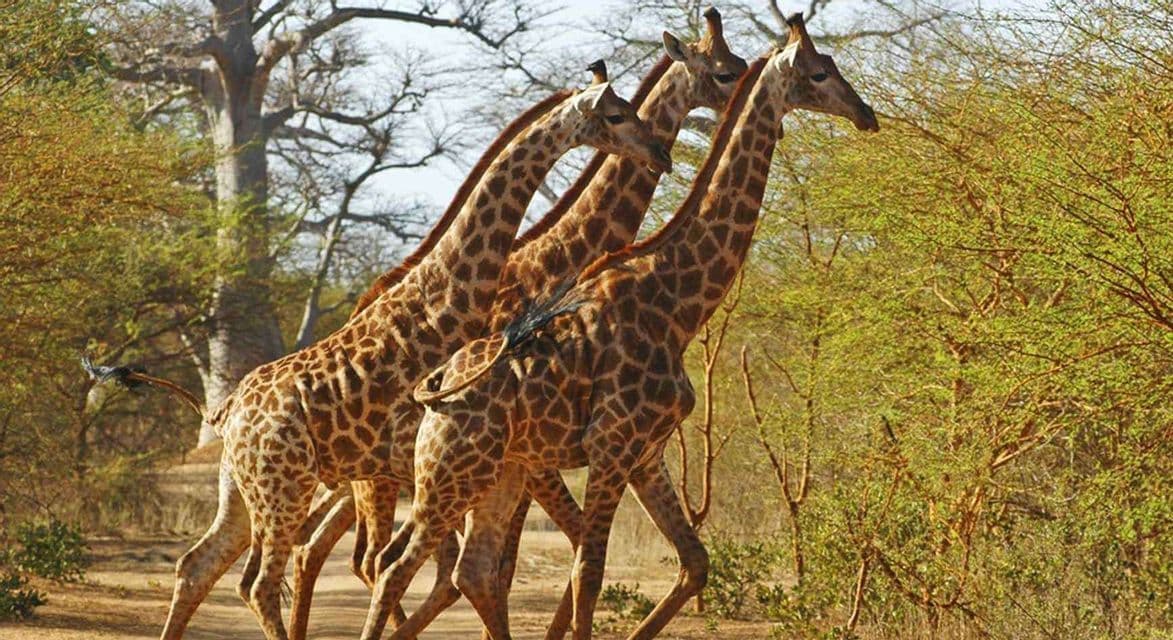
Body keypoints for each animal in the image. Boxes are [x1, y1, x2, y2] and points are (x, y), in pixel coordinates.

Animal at [127, 77, 670, 640]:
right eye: (615, 114)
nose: (661, 153)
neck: (447, 302)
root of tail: (227, 411)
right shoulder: (415, 461)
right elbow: (432, 568)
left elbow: (450, 569)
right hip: (284, 489)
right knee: (259, 582)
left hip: (242, 489)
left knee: (198, 564)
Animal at [290, 10, 748, 639]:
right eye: (725, 71)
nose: (662, 153)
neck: (560, 255)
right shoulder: (535, 453)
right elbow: (518, 561)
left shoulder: (529, 454)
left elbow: (508, 562)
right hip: (403, 469)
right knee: (366, 554)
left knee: (329, 547)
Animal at [360, 14, 878, 640]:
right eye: (819, 71)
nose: (867, 115)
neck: (676, 304)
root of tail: (434, 389)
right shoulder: (610, 446)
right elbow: (588, 572)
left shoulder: (647, 452)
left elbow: (694, 562)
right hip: (449, 476)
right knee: (393, 565)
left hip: (497, 473)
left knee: (468, 568)